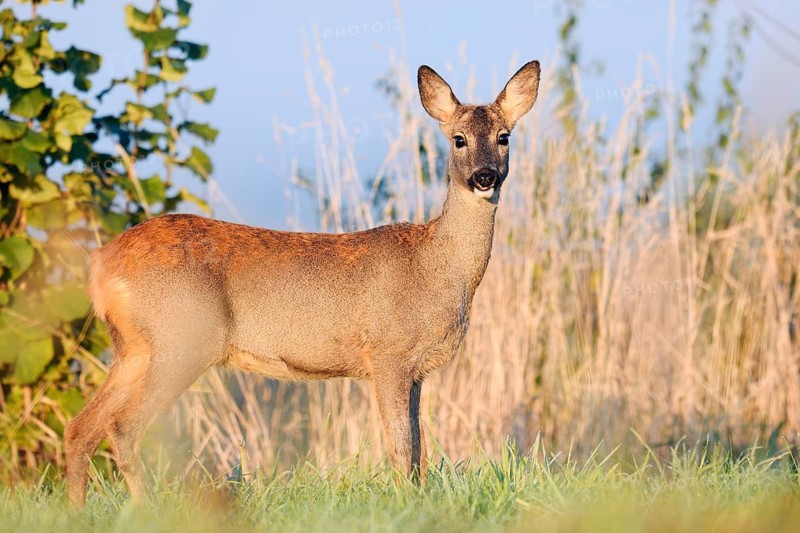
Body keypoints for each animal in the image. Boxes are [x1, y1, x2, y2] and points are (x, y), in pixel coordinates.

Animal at [64, 60, 540, 507]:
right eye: (458, 139)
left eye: (504, 137)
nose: (484, 176)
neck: (436, 265)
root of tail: (102, 264)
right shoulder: (388, 353)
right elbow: (401, 445)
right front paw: (407, 501)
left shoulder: (416, 369)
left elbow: (419, 446)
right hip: (181, 338)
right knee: (122, 427)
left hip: (134, 348)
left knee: (80, 427)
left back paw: (78, 510)